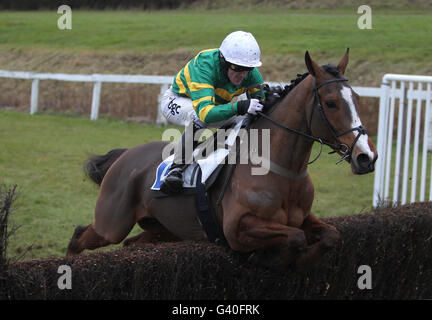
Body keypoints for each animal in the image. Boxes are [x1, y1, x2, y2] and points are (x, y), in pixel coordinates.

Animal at [66, 49, 378, 270]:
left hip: (163, 229)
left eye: (357, 98)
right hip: (111, 224)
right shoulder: (237, 229)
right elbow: (295, 237)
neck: (281, 168)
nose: (366, 157)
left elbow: (330, 236)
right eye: (331, 103)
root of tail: (125, 156)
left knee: (131, 244)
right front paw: (269, 259)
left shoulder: (304, 217)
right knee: (80, 235)